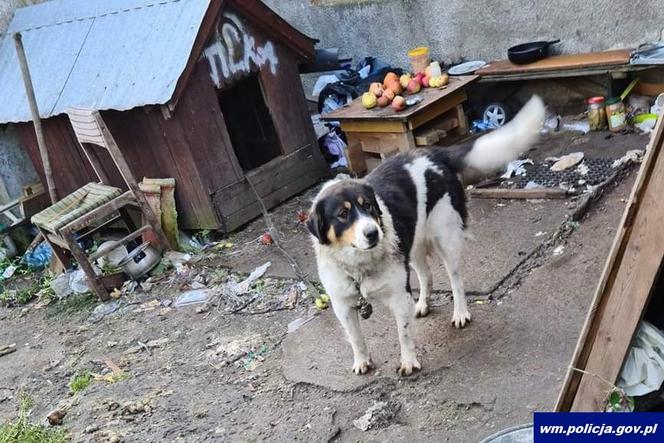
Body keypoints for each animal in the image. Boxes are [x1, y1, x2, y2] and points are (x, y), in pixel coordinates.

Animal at [306, 95, 544, 376]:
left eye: (368, 206)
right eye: (342, 214)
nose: (373, 233)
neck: (359, 266)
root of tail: (434, 152)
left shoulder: (399, 296)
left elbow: (404, 334)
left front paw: (409, 361)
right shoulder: (342, 305)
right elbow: (356, 338)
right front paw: (362, 361)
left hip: (446, 238)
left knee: (456, 279)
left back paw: (460, 312)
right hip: (413, 244)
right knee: (426, 274)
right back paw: (422, 304)